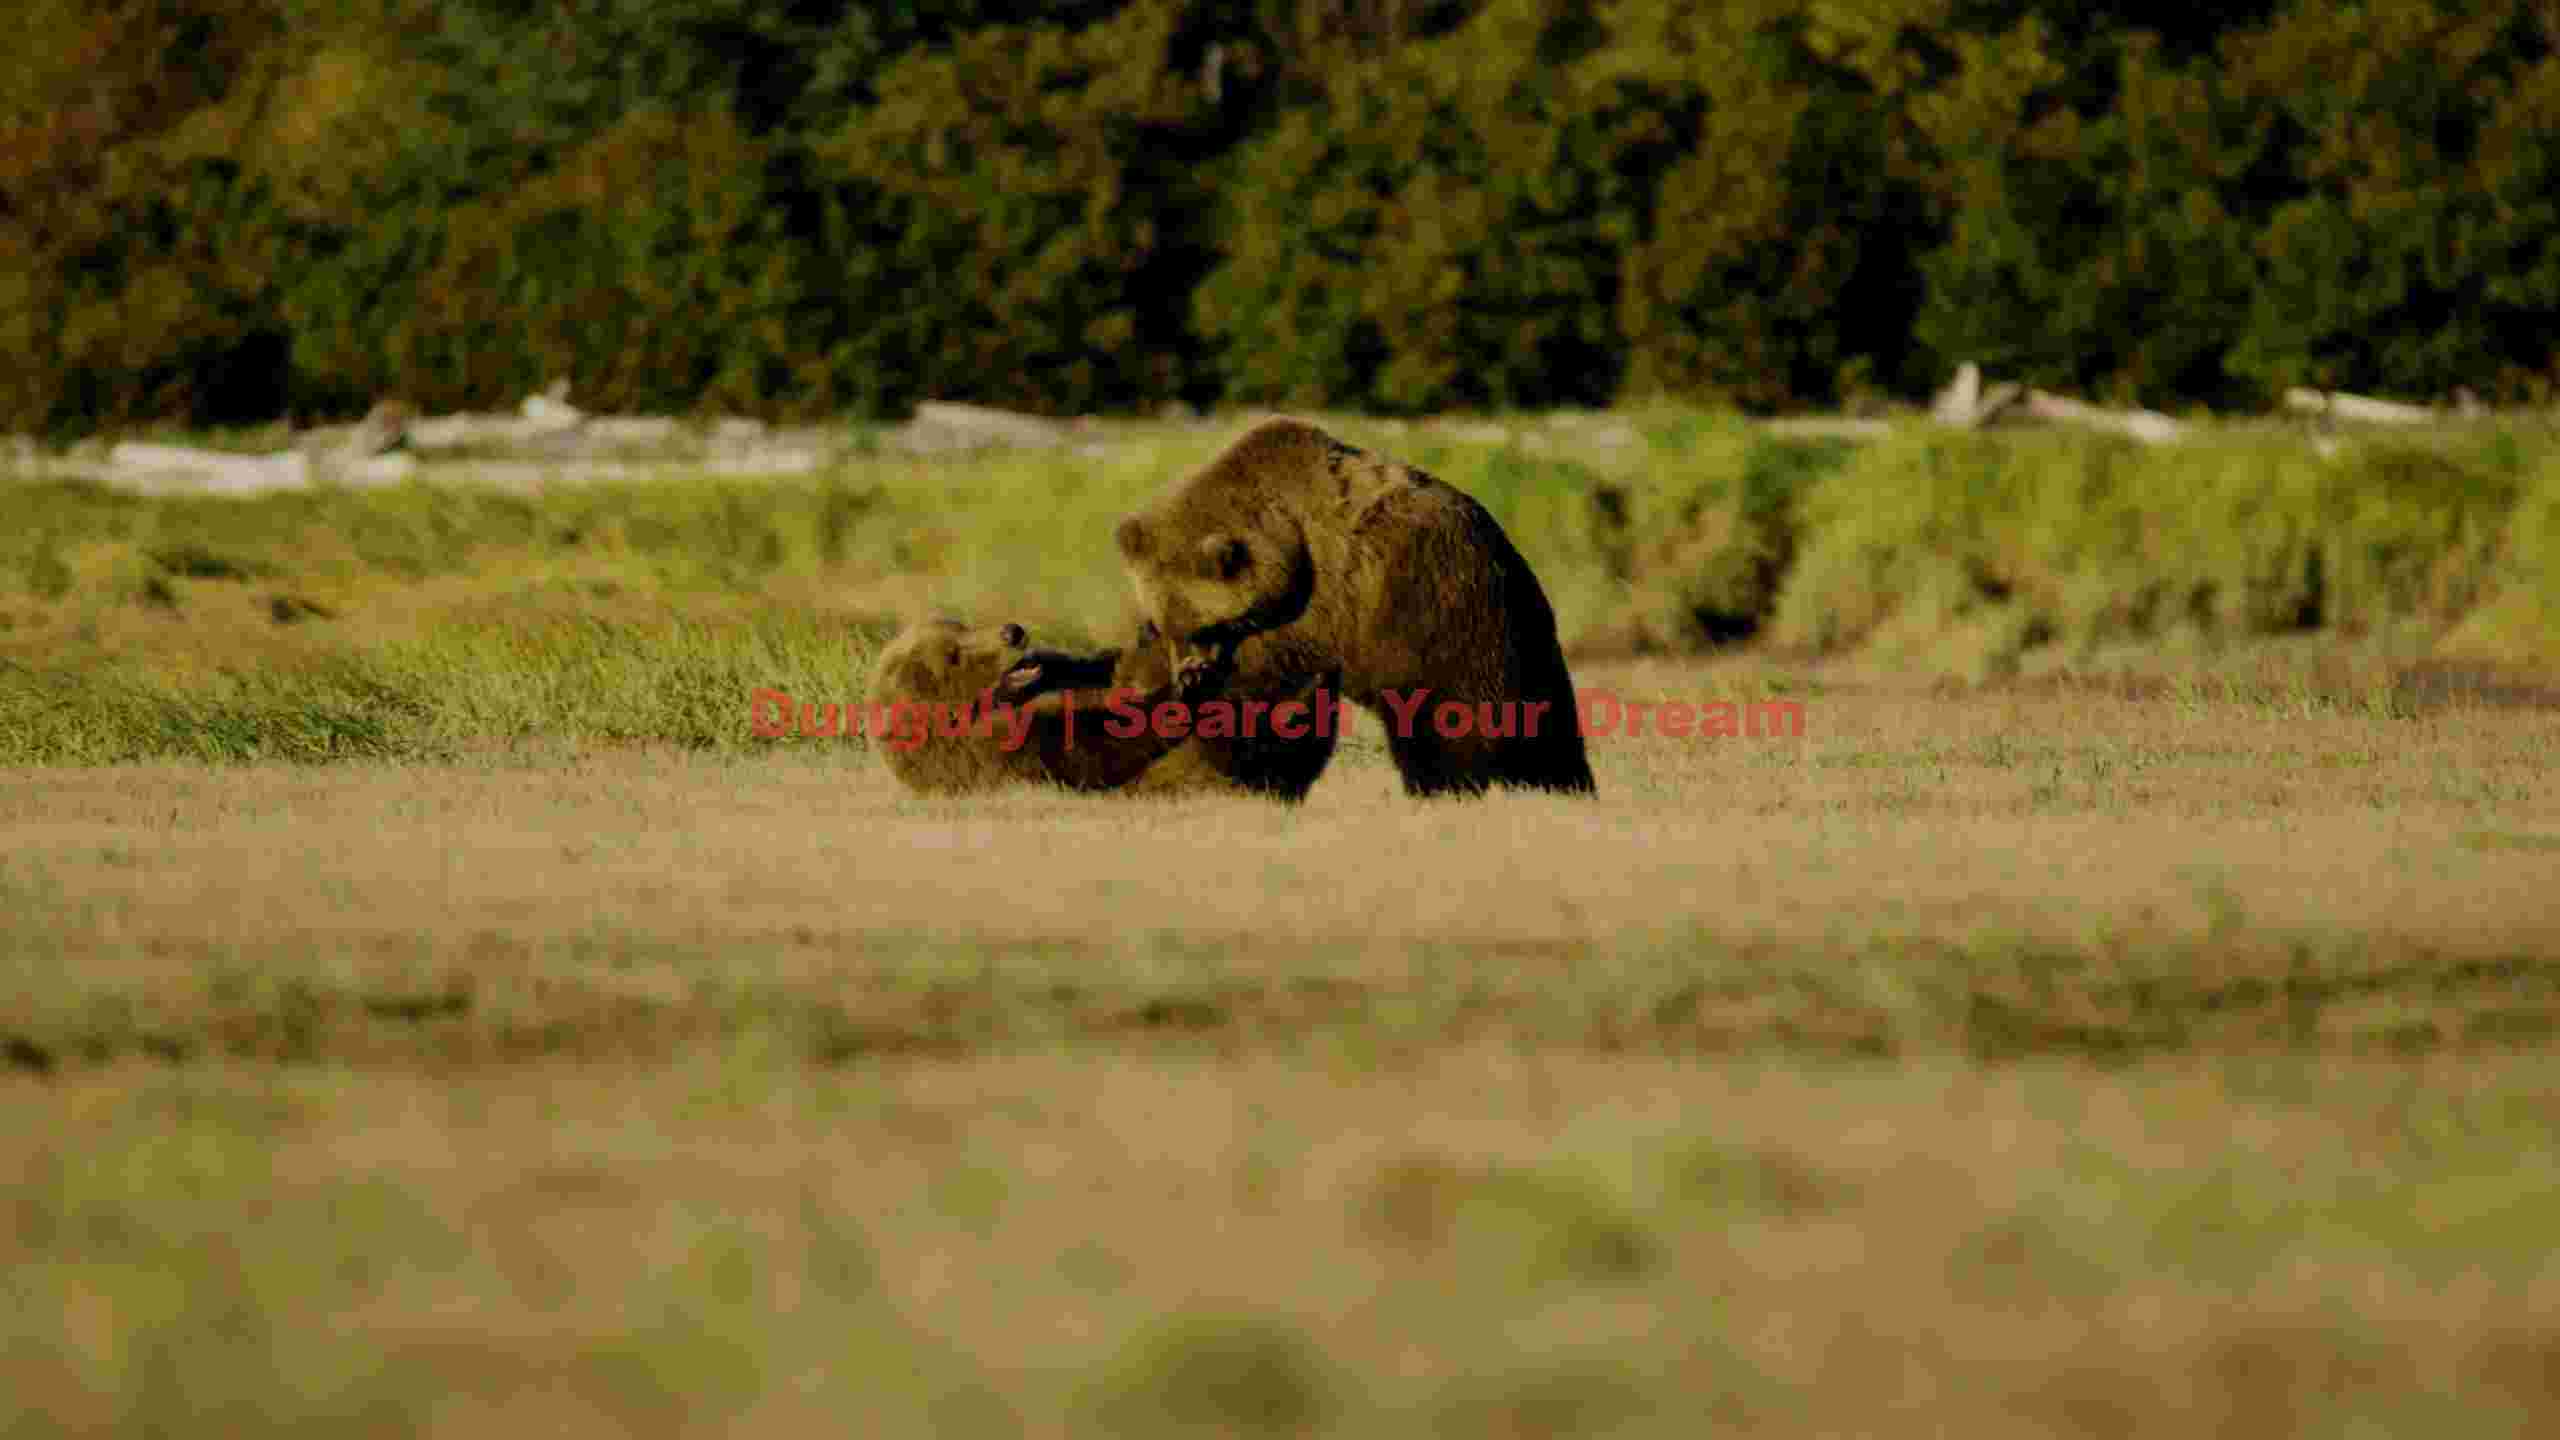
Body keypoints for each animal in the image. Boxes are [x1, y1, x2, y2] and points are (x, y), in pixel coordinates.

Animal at [862, 615, 1335, 800]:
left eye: (959, 626)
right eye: (955, 656)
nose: (1012, 631)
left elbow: (1105, 667)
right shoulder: (1009, 749)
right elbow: (1105, 743)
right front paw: (1184, 687)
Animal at [1112, 416, 1596, 798]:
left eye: (1202, 626)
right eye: (1163, 623)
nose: (1188, 669)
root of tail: (1501, 546)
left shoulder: (1313, 607)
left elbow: (1260, 688)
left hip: (1437, 611)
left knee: (1444, 715)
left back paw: (1443, 784)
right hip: (1521, 630)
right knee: (1548, 721)